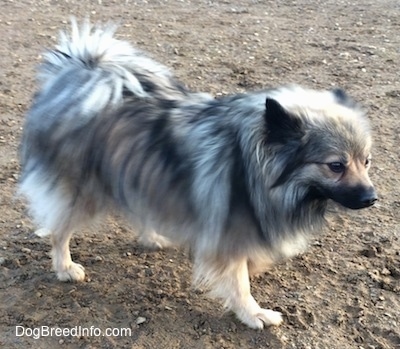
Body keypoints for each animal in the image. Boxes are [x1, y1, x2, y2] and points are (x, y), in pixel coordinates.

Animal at [18, 19, 376, 328]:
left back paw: (153, 237)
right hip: (85, 192)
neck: (254, 167)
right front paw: (254, 314)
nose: (372, 198)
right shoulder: (229, 236)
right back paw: (65, 267)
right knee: (59, 229)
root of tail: (79, 74)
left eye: (367, 161)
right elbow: (239, 282)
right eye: (336, 165)